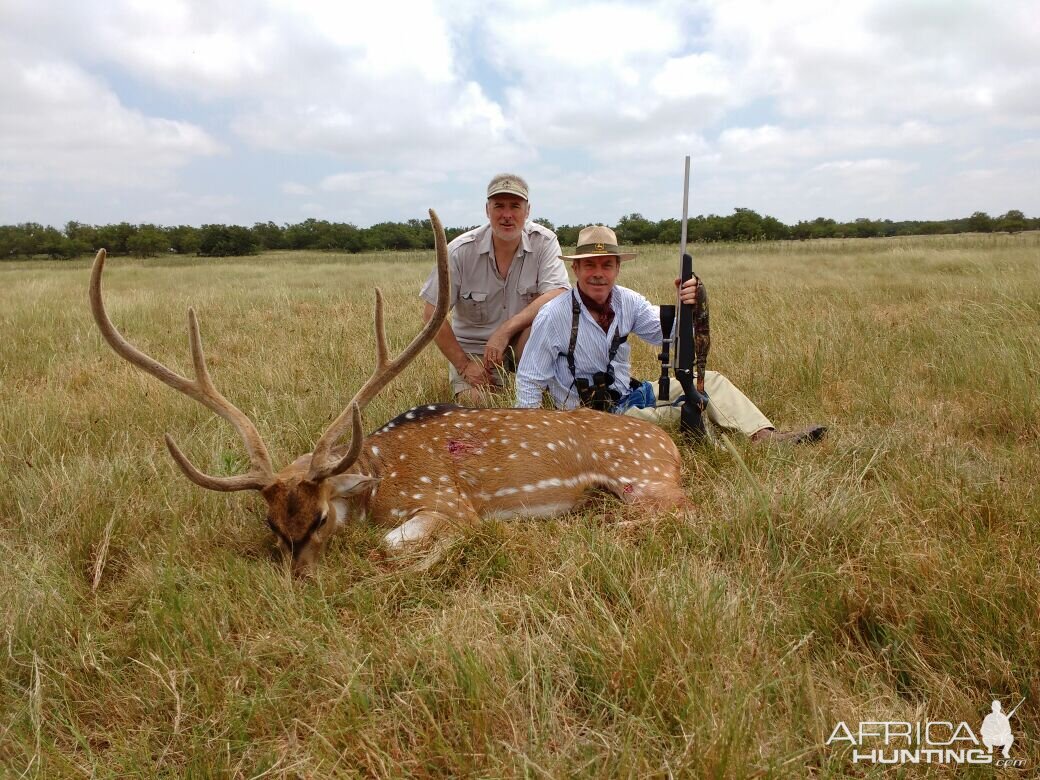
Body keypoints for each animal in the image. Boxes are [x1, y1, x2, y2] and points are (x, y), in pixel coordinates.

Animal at [91, 208, 690, 574]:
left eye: (319, 519)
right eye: (271, 524)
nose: (299, 579)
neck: (377, 479)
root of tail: (672, 447)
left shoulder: (448, 501)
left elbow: (392, 544)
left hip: (645, 482)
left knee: (677, 513)